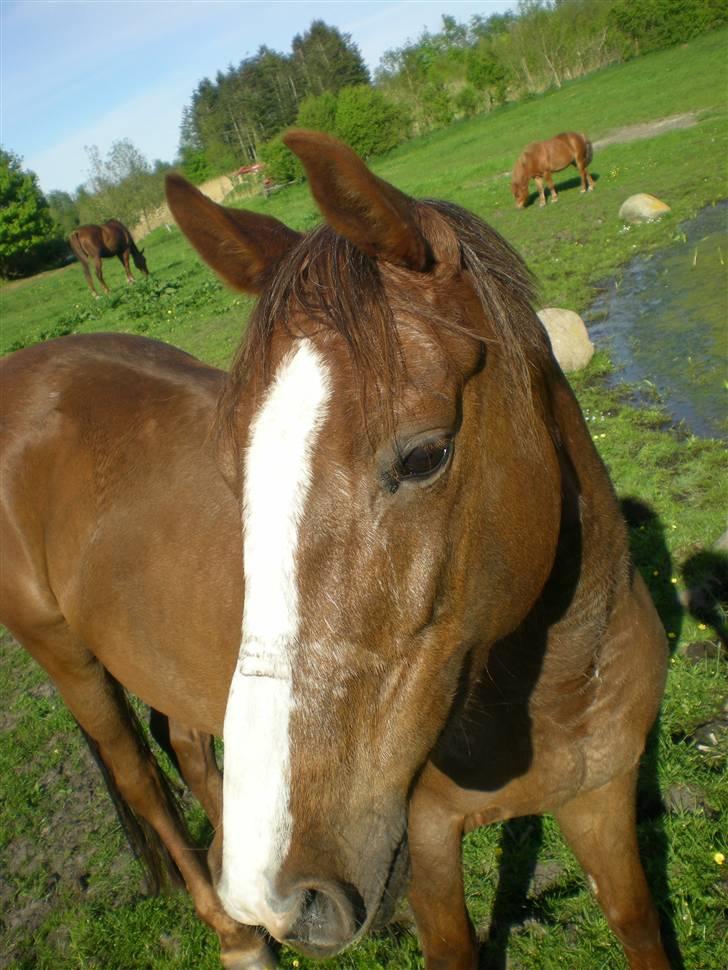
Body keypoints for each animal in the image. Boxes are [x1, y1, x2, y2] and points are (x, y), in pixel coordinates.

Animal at [0, 130, 672, 968]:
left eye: (424, 456)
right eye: (234, 473)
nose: (283, 888)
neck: (565, 684)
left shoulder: (603, 801)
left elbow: (639, 925)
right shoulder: (428, 849)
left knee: (185, 744)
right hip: (67, 658)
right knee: (140, 779)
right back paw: (238, 930)